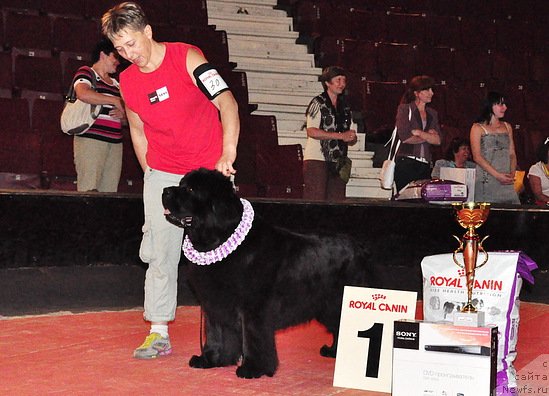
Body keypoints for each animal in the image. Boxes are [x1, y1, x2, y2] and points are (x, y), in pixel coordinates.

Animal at [161, 169, 370, 378]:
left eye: (190, 189)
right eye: (181, 184)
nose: (165, 191)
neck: (219, 238)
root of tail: (360, 248)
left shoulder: (253, 308)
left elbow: (253, 339)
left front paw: (252, 368)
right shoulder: (216, 304)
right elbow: (215, 335)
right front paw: (210, 360)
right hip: (328, 307)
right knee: (339, 327)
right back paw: (334, 352)